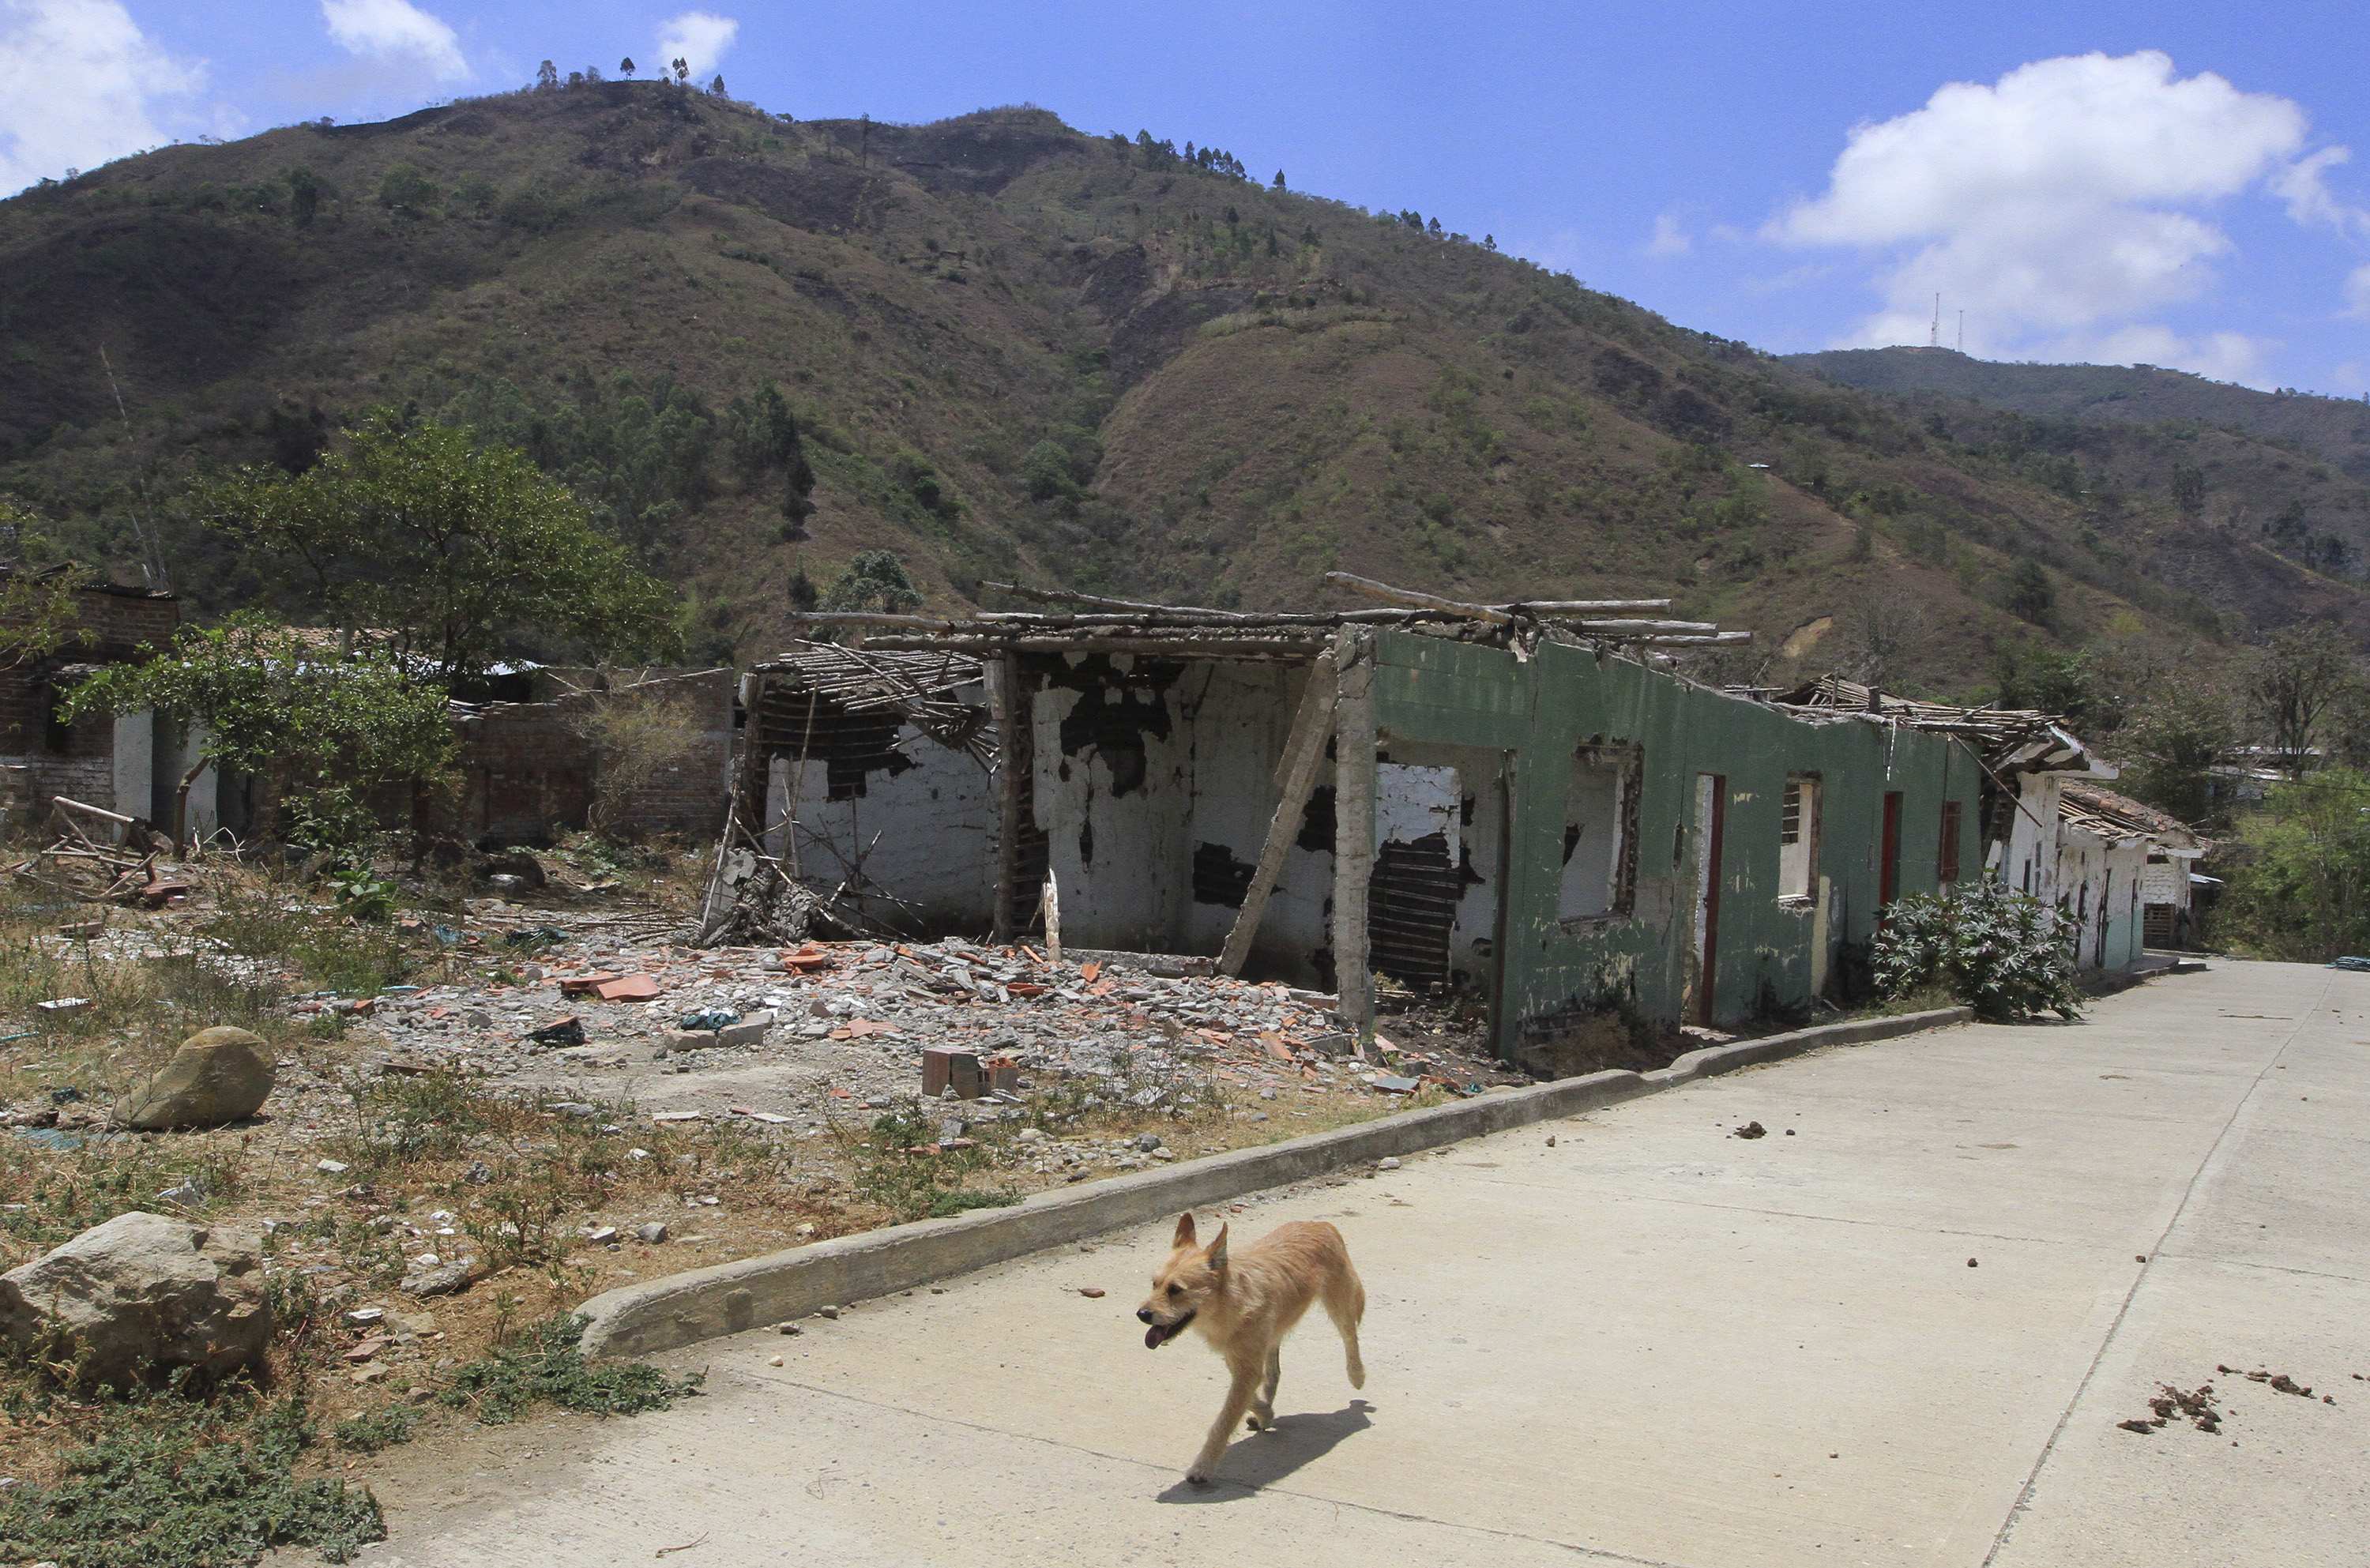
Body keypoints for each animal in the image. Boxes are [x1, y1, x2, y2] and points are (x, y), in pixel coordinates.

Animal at [1133, 1213, 1365, 1487]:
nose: (1142, 1314)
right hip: (1274, 1334)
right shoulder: (1237, 1361)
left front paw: (1203, 1465)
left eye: (1175, 1290)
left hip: (1339, 1304)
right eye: (1155, 1284)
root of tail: (1320, 1224)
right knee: (1274, 1371)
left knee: (1350, 1336)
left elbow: (1224, 1420)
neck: (1229, 1302)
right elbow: (1248, 1397)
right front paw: (1265, 1412)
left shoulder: (1246, 1368)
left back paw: (1357, 1374)